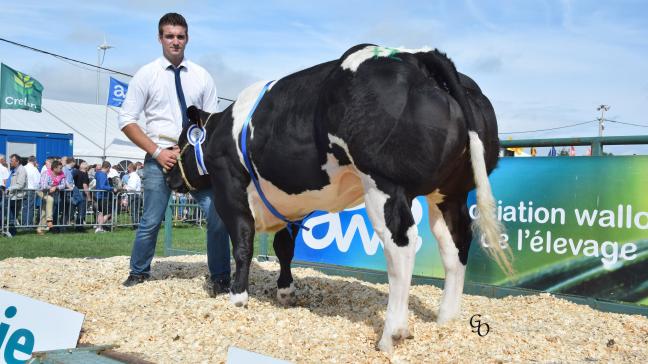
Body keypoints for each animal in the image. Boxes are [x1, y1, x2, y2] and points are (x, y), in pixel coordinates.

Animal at [166, 44, 512, 352]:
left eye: (182, 141)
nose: (168, 175)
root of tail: (419, 56)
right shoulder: (290, 203)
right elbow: (284, 248)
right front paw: (286, 292)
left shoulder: (230, 187)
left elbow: (242, 243)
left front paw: (237, 296)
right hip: (448, 193)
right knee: (455, 245)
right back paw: (446, 319)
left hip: (385, 185)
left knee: (402, 245)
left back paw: (392, 334)